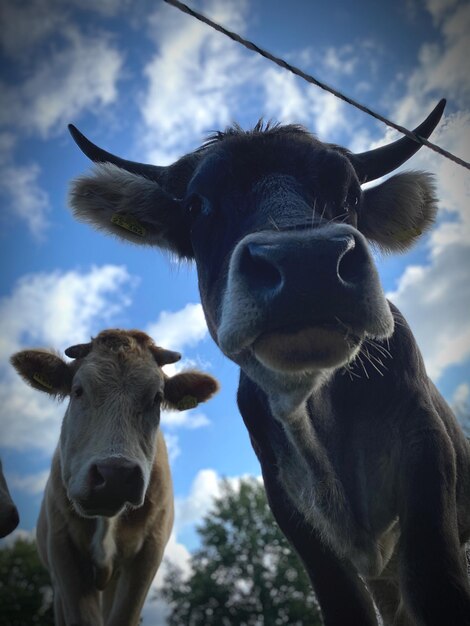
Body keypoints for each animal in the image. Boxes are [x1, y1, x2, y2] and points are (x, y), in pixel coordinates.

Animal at [67, 100, 470, 620]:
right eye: (196, 205)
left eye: (350, 194)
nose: (307, 263)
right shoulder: (291, 510)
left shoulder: (425, 451)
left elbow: (437, 589)